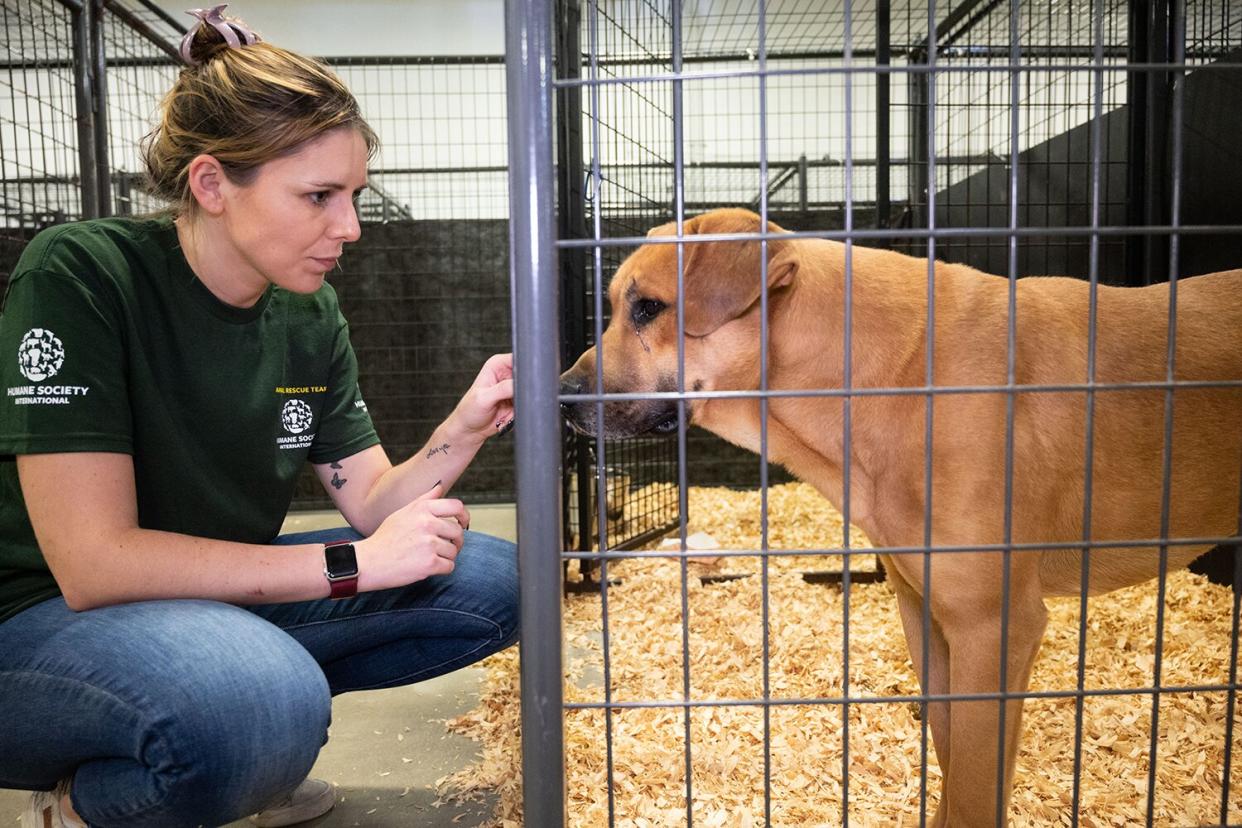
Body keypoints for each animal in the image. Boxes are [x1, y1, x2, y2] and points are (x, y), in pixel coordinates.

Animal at [561, 208, 1242, 828]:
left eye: (648, 308)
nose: (564, 395)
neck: (889, 377)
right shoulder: (927, 615)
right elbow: (952, 759)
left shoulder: (995, 626)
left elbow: (974, 789)